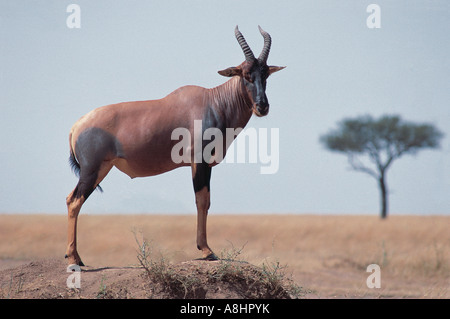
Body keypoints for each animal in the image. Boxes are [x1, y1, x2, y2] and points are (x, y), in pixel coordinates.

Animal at [64, 25, 284, 266]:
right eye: (245, 74)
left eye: (265, 74)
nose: (262, 106)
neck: (213, 101)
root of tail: (77, 125)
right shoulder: (199, 161)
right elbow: (202, 201)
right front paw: (207, 250)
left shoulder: (205, 164)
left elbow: (206, 201)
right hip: (91, 170)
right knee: (74, 201)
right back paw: (74, 258)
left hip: (102, 169)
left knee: (71, 198)